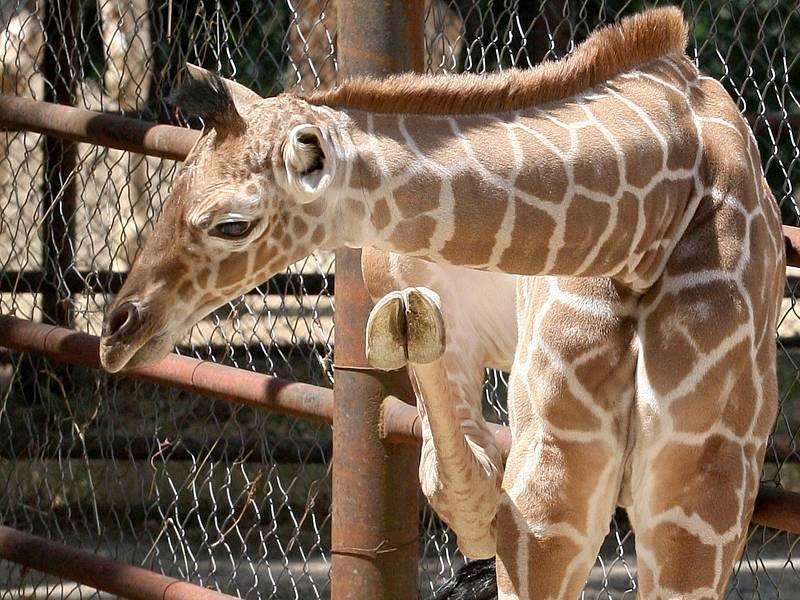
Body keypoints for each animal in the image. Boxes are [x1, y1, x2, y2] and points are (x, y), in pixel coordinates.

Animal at [100, 7, 780, 596]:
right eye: (175, 186)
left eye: (231, 224)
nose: (117, 330)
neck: (651, 224)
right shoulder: (556, 478)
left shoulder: (699, 497)